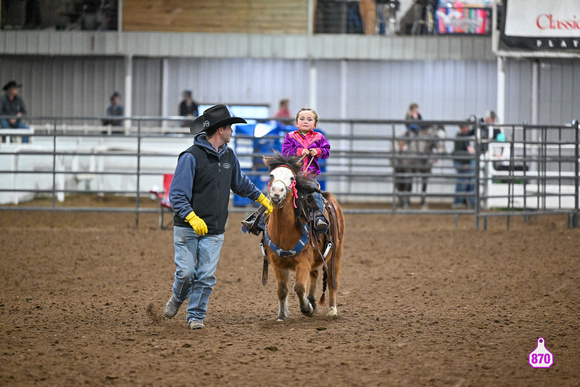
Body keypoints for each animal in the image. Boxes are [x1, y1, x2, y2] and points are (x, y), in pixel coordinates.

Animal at [262, 154, 344, 322]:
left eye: (292, 177)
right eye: (271, 175)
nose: (277, 192)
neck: (283, 231)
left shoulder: (303, 261)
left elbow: (299, 287)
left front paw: (306, 307)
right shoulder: (277, 263)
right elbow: (282, 290)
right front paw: (281, 315)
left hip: (336, 254)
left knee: (332, 281)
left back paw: (332, 310)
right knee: (315, 274)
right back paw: (312, 300)